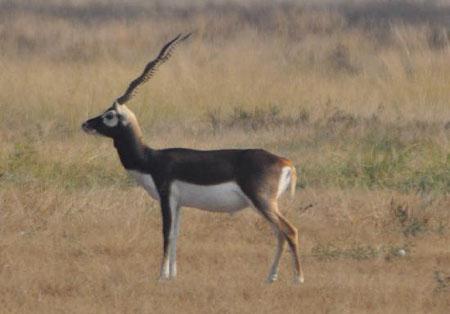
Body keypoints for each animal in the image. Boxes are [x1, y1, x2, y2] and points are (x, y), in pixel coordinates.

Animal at [82, 34, 304, 284]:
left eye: (109, 115)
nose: (86, 124)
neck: (150, 158)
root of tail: (285, 162)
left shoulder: (166, 196)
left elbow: (166, 233)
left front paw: (161, 276)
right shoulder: (179, 204)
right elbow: (176, 234)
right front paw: (173, 276)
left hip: (262, 201)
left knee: (289, 230)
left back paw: (298, 279)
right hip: (265, 205)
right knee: (279, 233)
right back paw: (270, 277)